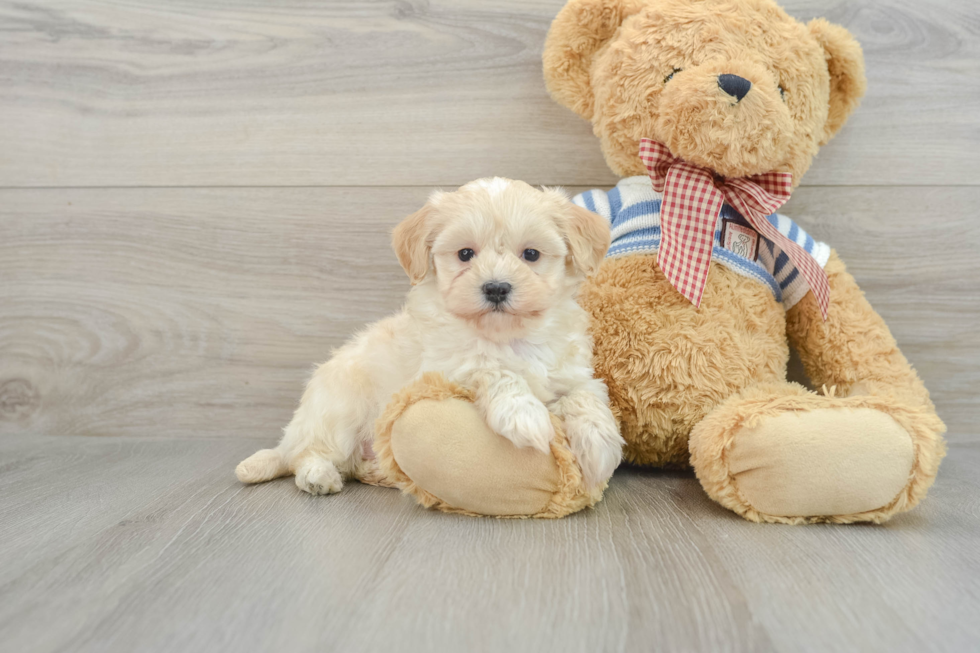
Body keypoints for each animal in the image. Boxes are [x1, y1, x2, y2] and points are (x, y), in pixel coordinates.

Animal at [234, 178, 624, 494]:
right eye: (465, 254)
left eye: (531, 254)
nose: (496, 288)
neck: (507, 337)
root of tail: (298, 428)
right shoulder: (446, 368)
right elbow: (492, 368)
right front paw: (524, 415)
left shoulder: (572, 372)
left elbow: (586, 395)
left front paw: (600, 447)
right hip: (338, 410)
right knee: (310, 453)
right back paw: (318, 476)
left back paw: (379, 471)